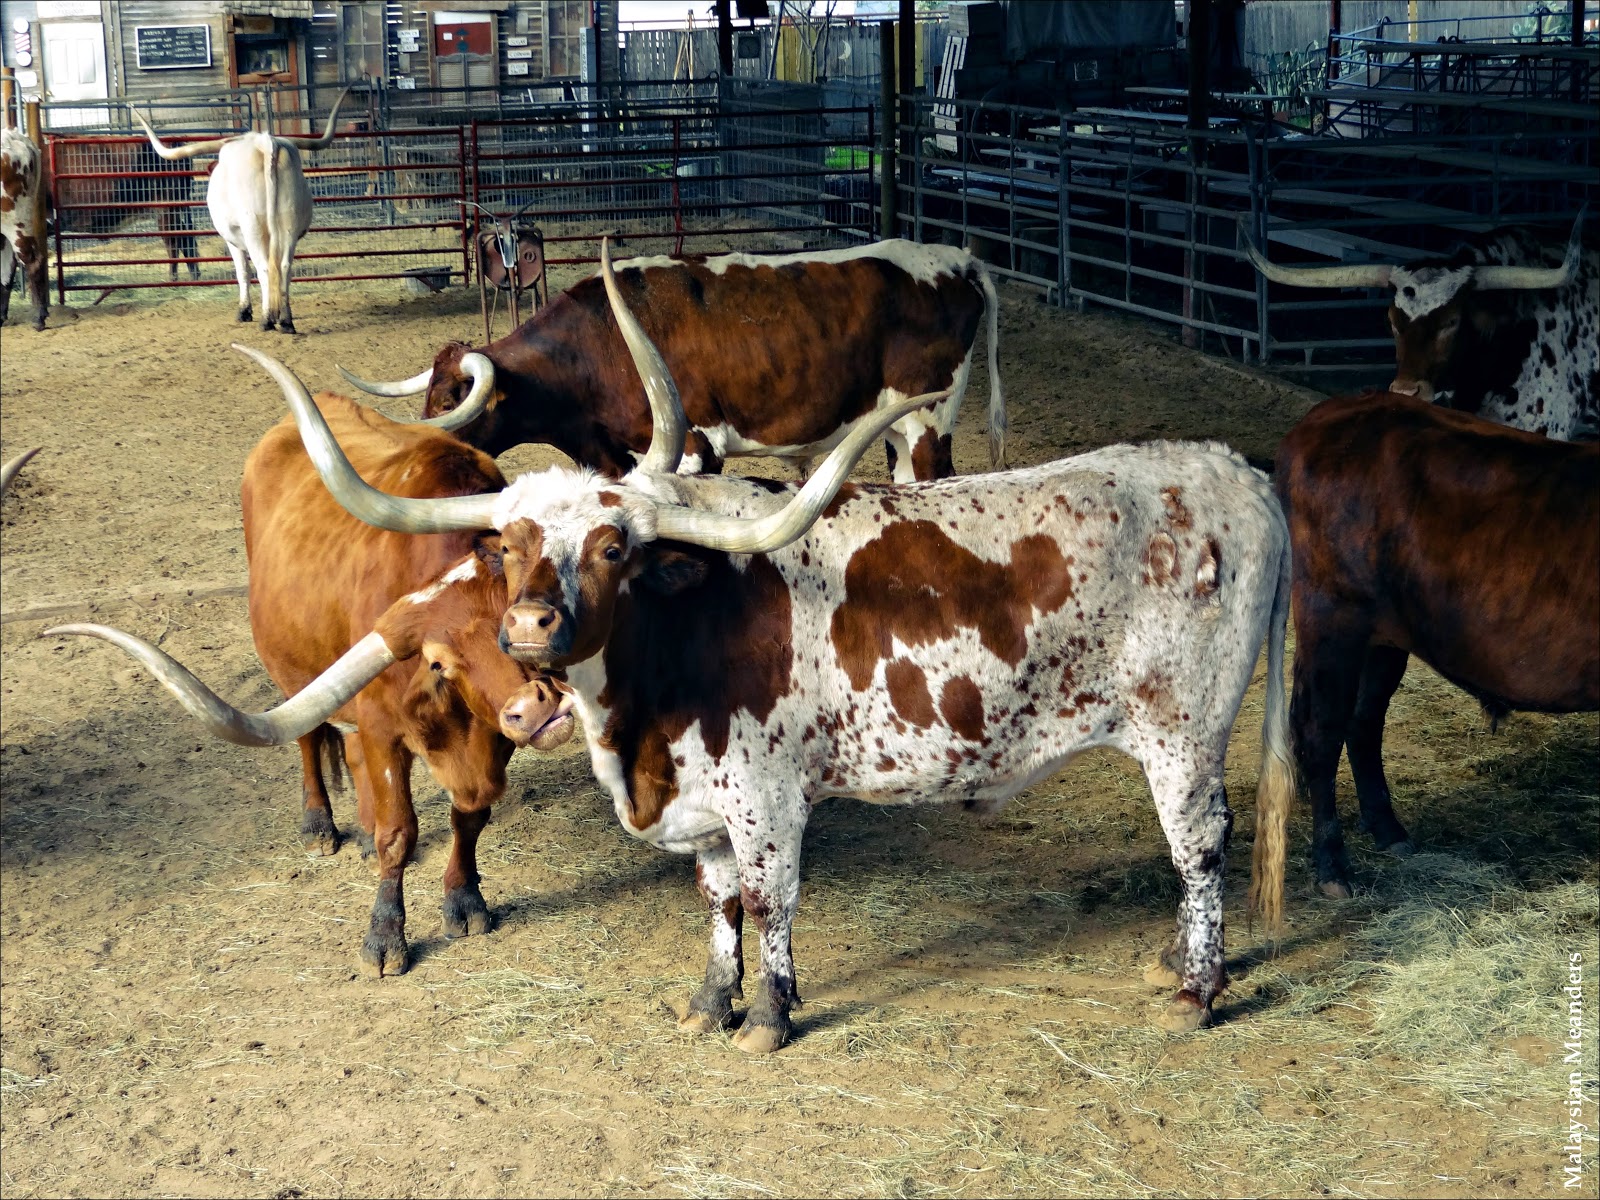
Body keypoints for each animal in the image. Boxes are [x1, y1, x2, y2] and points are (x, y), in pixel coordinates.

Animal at [47, 373, 576, 977]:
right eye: (440, 659)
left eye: (518, 618)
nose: (537, 708)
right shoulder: (383, 725)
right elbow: (399, 832)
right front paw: (384, 937)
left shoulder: (491, 732)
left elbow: (470, 816)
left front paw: (464, 900)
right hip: (294, 676)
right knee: (309, 740)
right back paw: (320, 825)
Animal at [132, 91, 349, 334]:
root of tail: (264, 142)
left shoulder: (233, 240)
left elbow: (243, 272)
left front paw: (244, 311)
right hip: (289, 225)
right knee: (284, 267)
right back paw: (285, 320)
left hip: (252, 227)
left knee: (264, 268)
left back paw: (267, 320)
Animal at [336, 239, 1007, 483]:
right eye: (431, 395)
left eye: (454, 400)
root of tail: (959, 259)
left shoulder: (693, 449)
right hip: (896, 431)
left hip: (928, 424)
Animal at [1271, 390, 1599, 899]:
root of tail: (1328, 413)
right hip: (1332, 617)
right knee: (1321, 733)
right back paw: (1333, 868)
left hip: (1382, 638)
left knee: (1363, 722)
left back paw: (1389, 831)